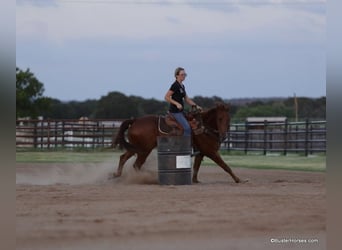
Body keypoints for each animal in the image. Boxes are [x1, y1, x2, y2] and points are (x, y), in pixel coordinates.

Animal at [112, 102, 240, 183]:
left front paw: (195, 180)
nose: (223, 136)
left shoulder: (201, 153)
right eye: (220, 119)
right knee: (137, 165)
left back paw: (117, 174)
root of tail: (135, 121)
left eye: (228, 119)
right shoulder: (211, 152)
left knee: (123, 157)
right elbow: (225, 166)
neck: (204, 127)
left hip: (135, 148)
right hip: (144, 150)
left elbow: (196, 167)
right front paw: (238, 179)